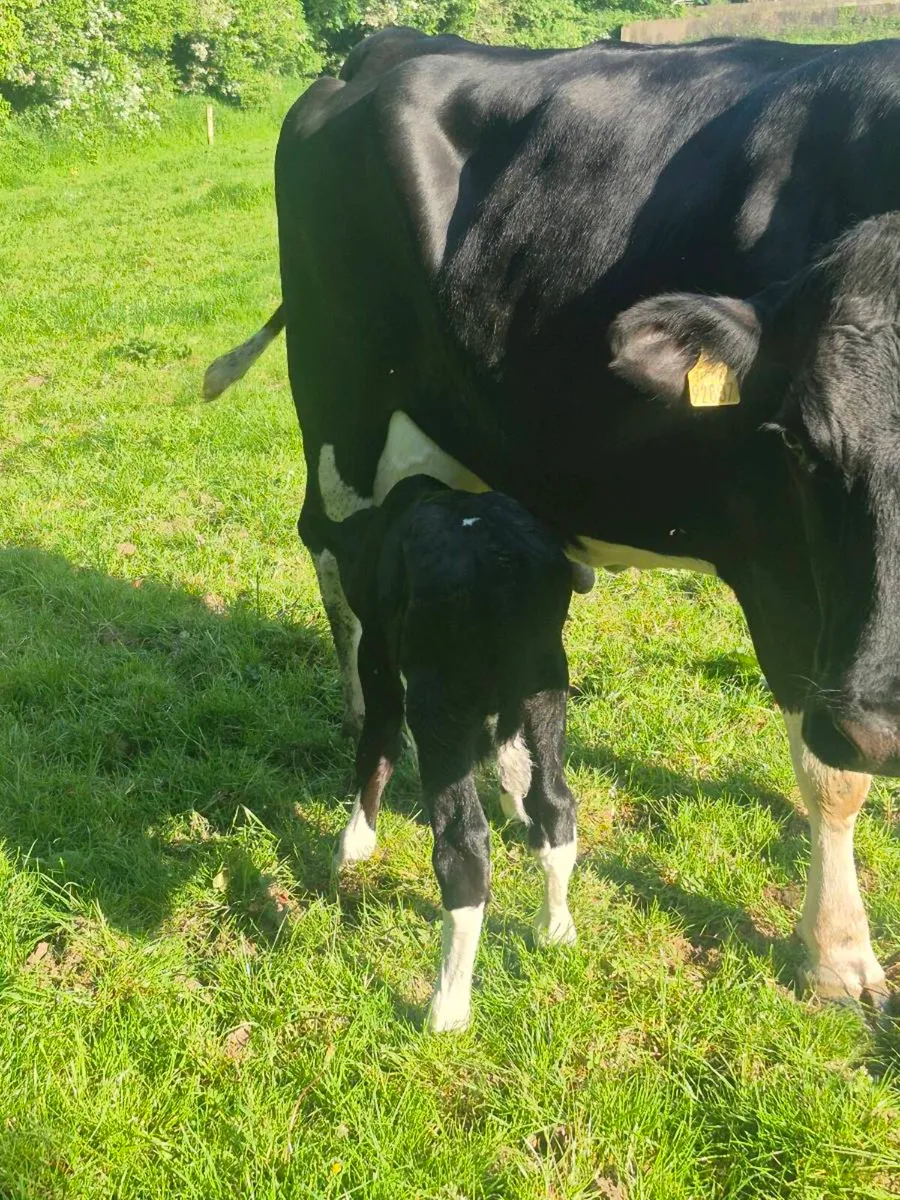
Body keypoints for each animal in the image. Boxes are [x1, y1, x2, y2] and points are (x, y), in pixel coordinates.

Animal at [326, 474, 577, 1031]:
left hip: (439, 696)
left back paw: (447, 1007)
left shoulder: (377, 653)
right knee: (556, 804)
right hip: (545, 682)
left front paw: (353, 844)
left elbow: (377, 745)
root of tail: (504, 561)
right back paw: (554, 926)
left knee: (463, 845)